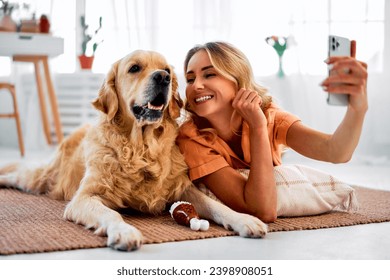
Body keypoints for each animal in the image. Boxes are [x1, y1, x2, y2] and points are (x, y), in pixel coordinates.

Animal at [0, 49, 268, 250]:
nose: (163, 78)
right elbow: (111, 214)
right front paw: (124, 231)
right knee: (19, 173)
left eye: (167, 69)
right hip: (44, 178)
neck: (141, 147)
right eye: (135, 68)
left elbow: (218, 206)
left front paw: (245, 220)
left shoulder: (183, 189)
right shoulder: (84, 197)